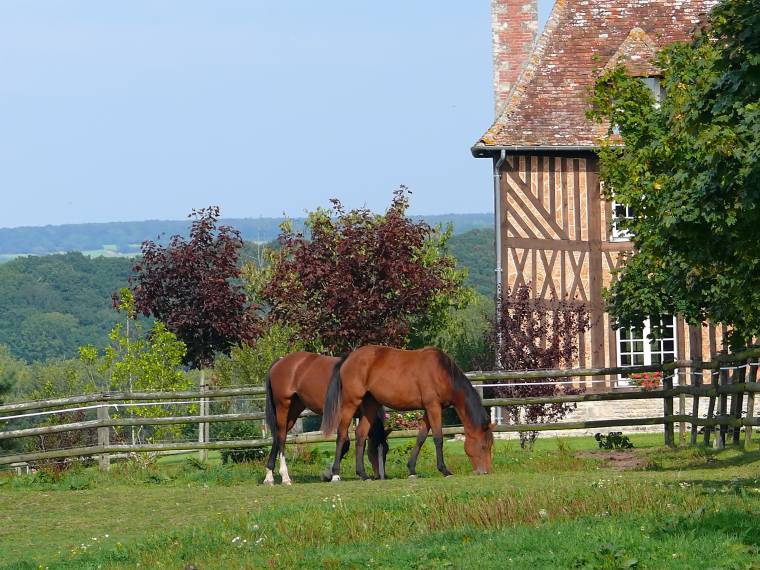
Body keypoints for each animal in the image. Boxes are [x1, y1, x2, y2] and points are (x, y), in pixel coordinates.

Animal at [264, 350, 388, 484]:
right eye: (374, 450)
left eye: (386, 450)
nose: (381, 477)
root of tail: (280, 361)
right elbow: (345, 443)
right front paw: (331, 474)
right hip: (283, 405)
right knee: (281, 437)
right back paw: (285, 477)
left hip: (294, 410)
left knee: (278, 436)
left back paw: (269, 476)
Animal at [320, 346, 492, 480]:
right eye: (484, 446)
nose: (486, 472)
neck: (442, 372)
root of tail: (349, 358)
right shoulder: (433, 407)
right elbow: (438, 438)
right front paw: (444, 470)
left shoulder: (429, 410)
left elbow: (421, 438)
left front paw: (411, 469)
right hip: (350, 403)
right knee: (342, 433)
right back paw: (336, 473)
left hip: (370, 405)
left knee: (361, 435)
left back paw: (363, 474)